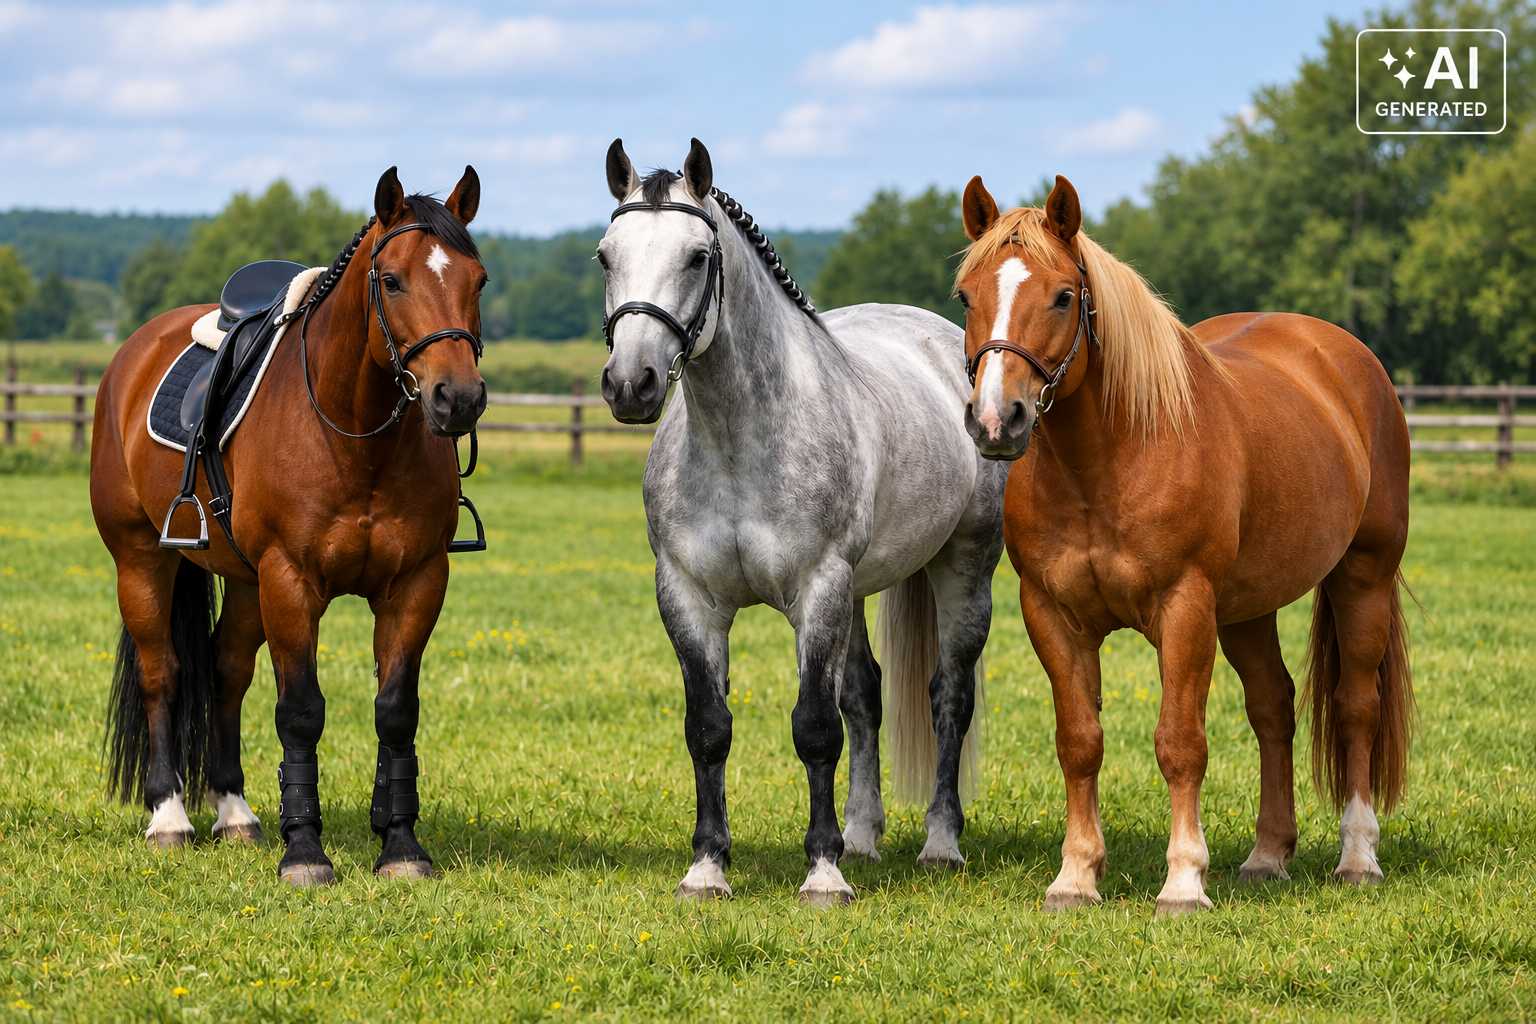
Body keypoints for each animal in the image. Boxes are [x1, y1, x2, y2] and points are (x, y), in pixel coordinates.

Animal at [90, 166, 489, 886]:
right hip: (142, 560)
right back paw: (170, 818)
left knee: (225, 673)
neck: (353, 433)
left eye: (479, 280)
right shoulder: (291, 582)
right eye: (392, 280)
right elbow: (301, 712)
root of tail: (134, 352)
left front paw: (400, 844)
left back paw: (235, 813)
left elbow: (396, 712)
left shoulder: (416, 584)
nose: (459, 398)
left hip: (247, 583)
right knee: (163, 674)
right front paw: (304, 851)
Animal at [597, 138, 1008, 904]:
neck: (738, 441)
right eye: (606, 256)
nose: (630, 384)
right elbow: (710, 729)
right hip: (859, 589)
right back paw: (863, 836)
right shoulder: (688, 598)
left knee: (948, 697)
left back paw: (940, 843)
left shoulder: (817, 590)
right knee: (866, 697)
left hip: (964, 567)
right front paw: (708, 867)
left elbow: (815, 728)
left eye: (697, 256)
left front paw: (822, 873)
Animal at [953, 173, 1413, 913]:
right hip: (1249, 610)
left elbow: (1180, 742)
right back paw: (1267, 855)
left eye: (1062, 296)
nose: (998, 420)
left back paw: (1358, 856)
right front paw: (1076, 876)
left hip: (1362, 576)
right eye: (967, 296)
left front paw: (1183, 880)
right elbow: (1079, 741)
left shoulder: (1185, 608)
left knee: (1355, 706)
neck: (1108, 463)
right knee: (1272, 708)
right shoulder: (1052, 614)